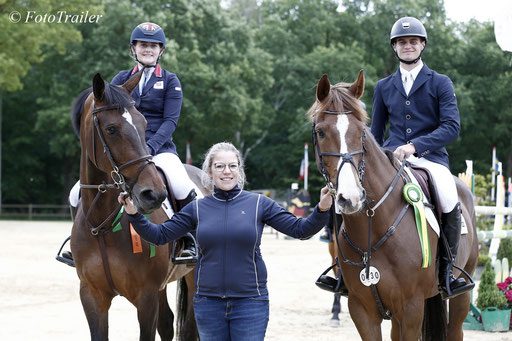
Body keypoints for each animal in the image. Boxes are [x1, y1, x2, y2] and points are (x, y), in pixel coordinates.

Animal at [70, 70, 206, 338]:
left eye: (143, 125)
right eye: (111, 129)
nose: (154, 195)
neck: (103, 224)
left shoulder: (146, 297)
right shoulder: (91, 295)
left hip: (195, 275)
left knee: (189, 328)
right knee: (167, 323)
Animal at [308, 70, 480, 338]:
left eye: (362, 131)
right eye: (321, 132)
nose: (351, 198)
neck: (374, 225)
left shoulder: (411, 308)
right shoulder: (362, 310)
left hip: (462, 292)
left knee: (456, 328)